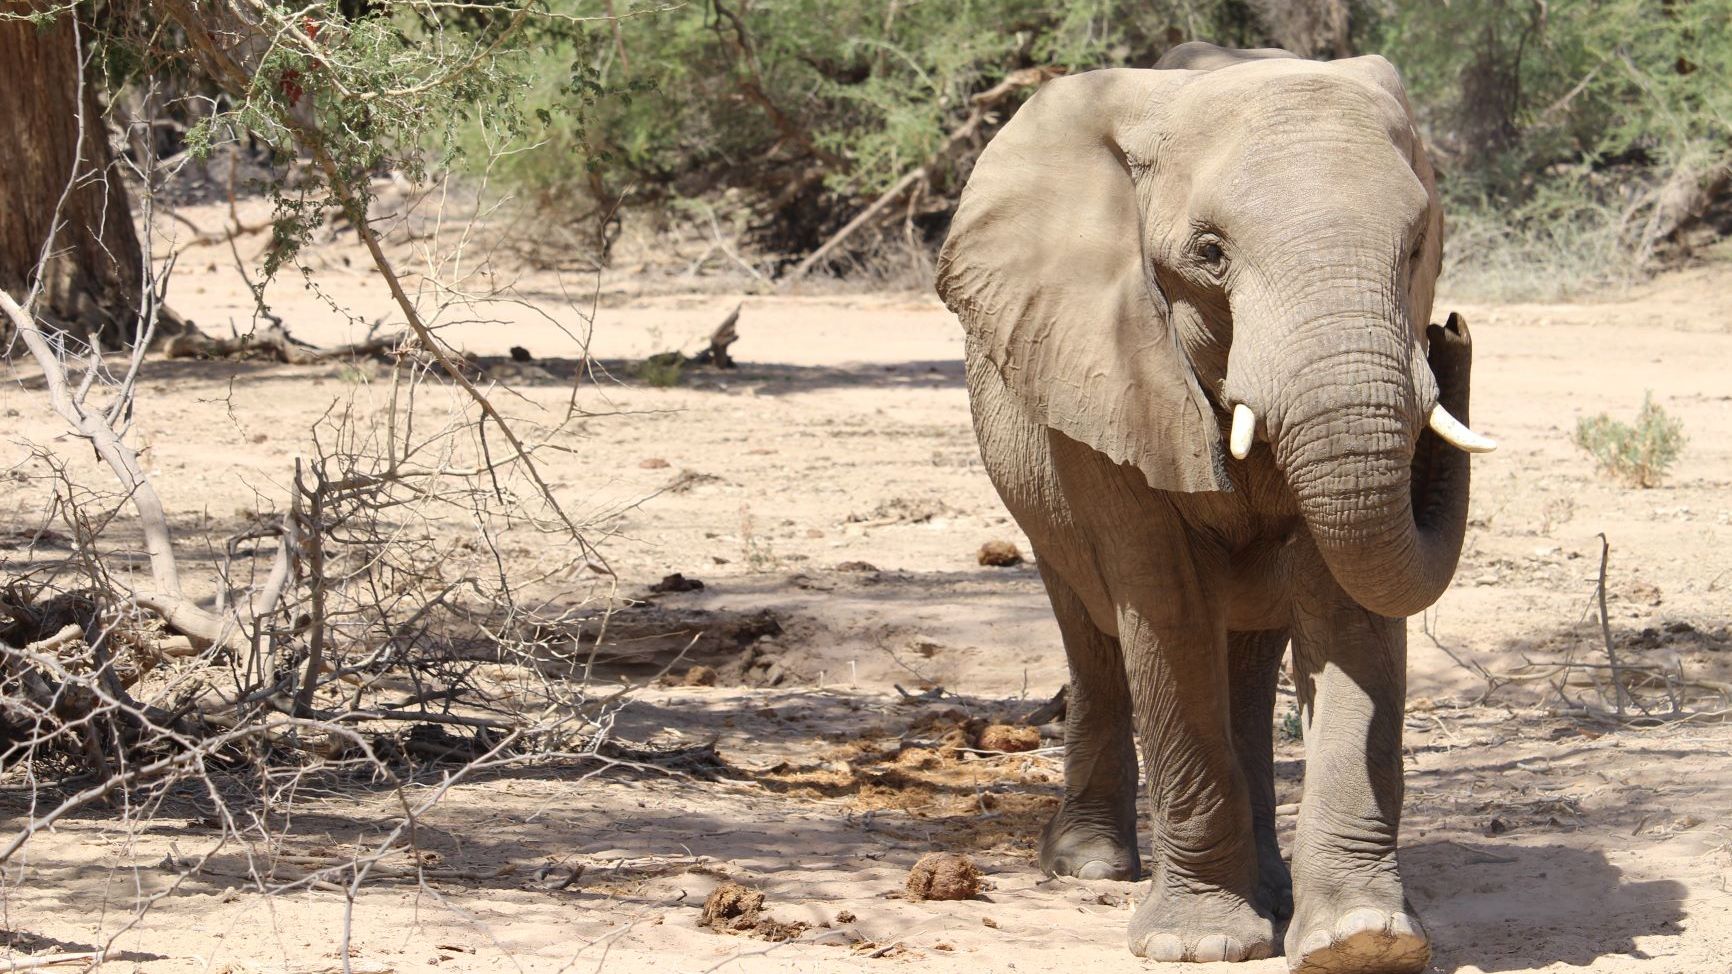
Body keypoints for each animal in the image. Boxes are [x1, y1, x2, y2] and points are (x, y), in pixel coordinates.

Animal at [934, 42, 1494, 972]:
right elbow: (1165, 605)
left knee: (1247, 658)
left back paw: (1271, 890)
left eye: (1418, 247)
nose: (1452, 332)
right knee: (1094, 632)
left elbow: (1349, 610)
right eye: (1209, 252)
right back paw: (1091, 866)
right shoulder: (1111, 368)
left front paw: (1360, 940)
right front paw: (1198, 943)